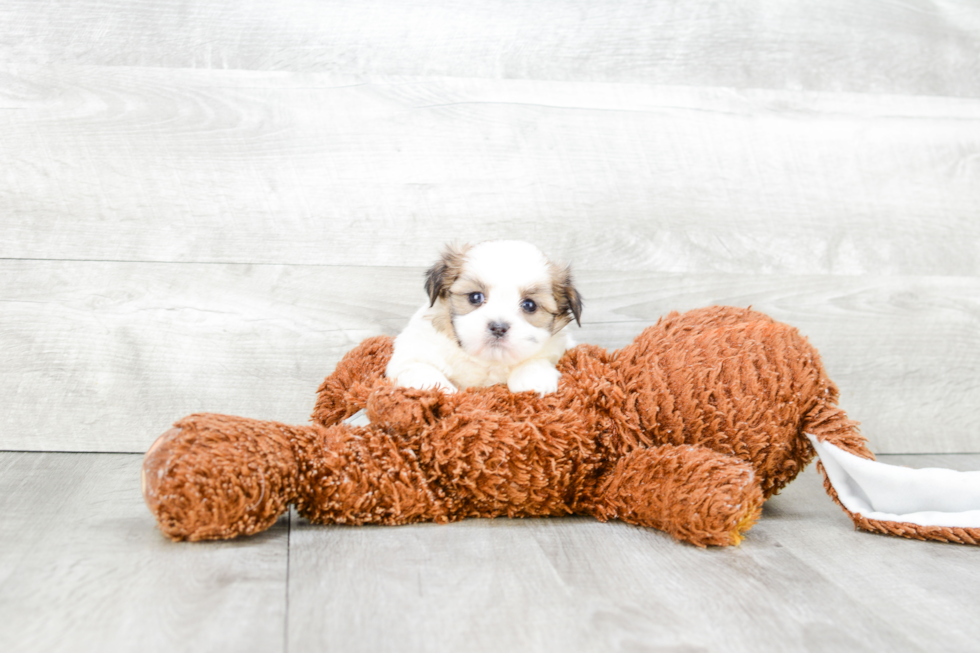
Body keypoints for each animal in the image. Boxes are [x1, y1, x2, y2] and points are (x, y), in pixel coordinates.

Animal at [384, 238, 580, 394]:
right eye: (475, 297)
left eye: (529, 305)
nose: (498, 328)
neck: (485, 360)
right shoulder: (410, 356)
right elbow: (423, 371)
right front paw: (445, 392)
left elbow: (537, 359)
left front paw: (533, 379)